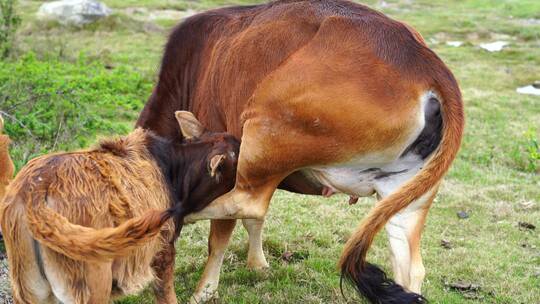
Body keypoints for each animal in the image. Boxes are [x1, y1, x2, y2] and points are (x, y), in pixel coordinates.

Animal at [138, 1, 464, 302]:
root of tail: (424, 63)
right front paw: (258, 264)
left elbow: (221, 235)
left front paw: (203, 291)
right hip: (404, 193)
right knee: (409, 265)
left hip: (265, 126)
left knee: (248, 202)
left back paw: (183, 213)